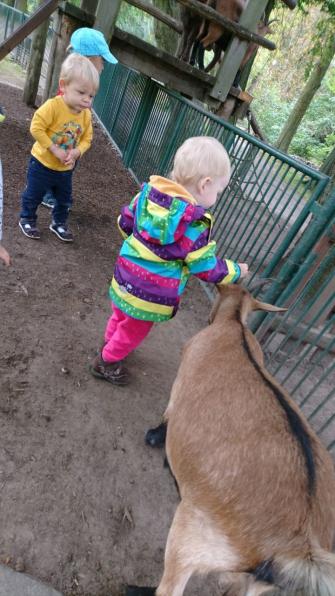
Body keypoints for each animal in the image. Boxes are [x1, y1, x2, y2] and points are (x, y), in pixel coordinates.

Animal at [154, 286, 335, 596]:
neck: (234, 324)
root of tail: (300, 544)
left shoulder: (182, 377)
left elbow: (170, 408)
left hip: (191, 541)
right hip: (258, 582)